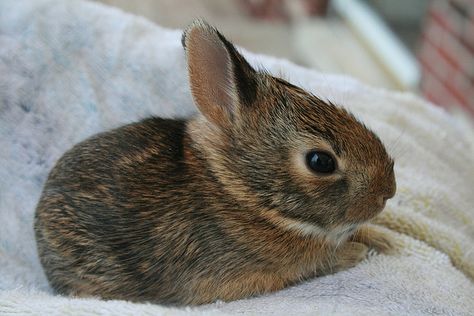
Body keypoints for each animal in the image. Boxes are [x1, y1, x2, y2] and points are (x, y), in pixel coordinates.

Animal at [34, 20, 396, 306]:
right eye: (321, 161)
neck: (238, 192)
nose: (388, 191)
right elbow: (319, 262)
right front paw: (358, 252)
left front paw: (383, 240)